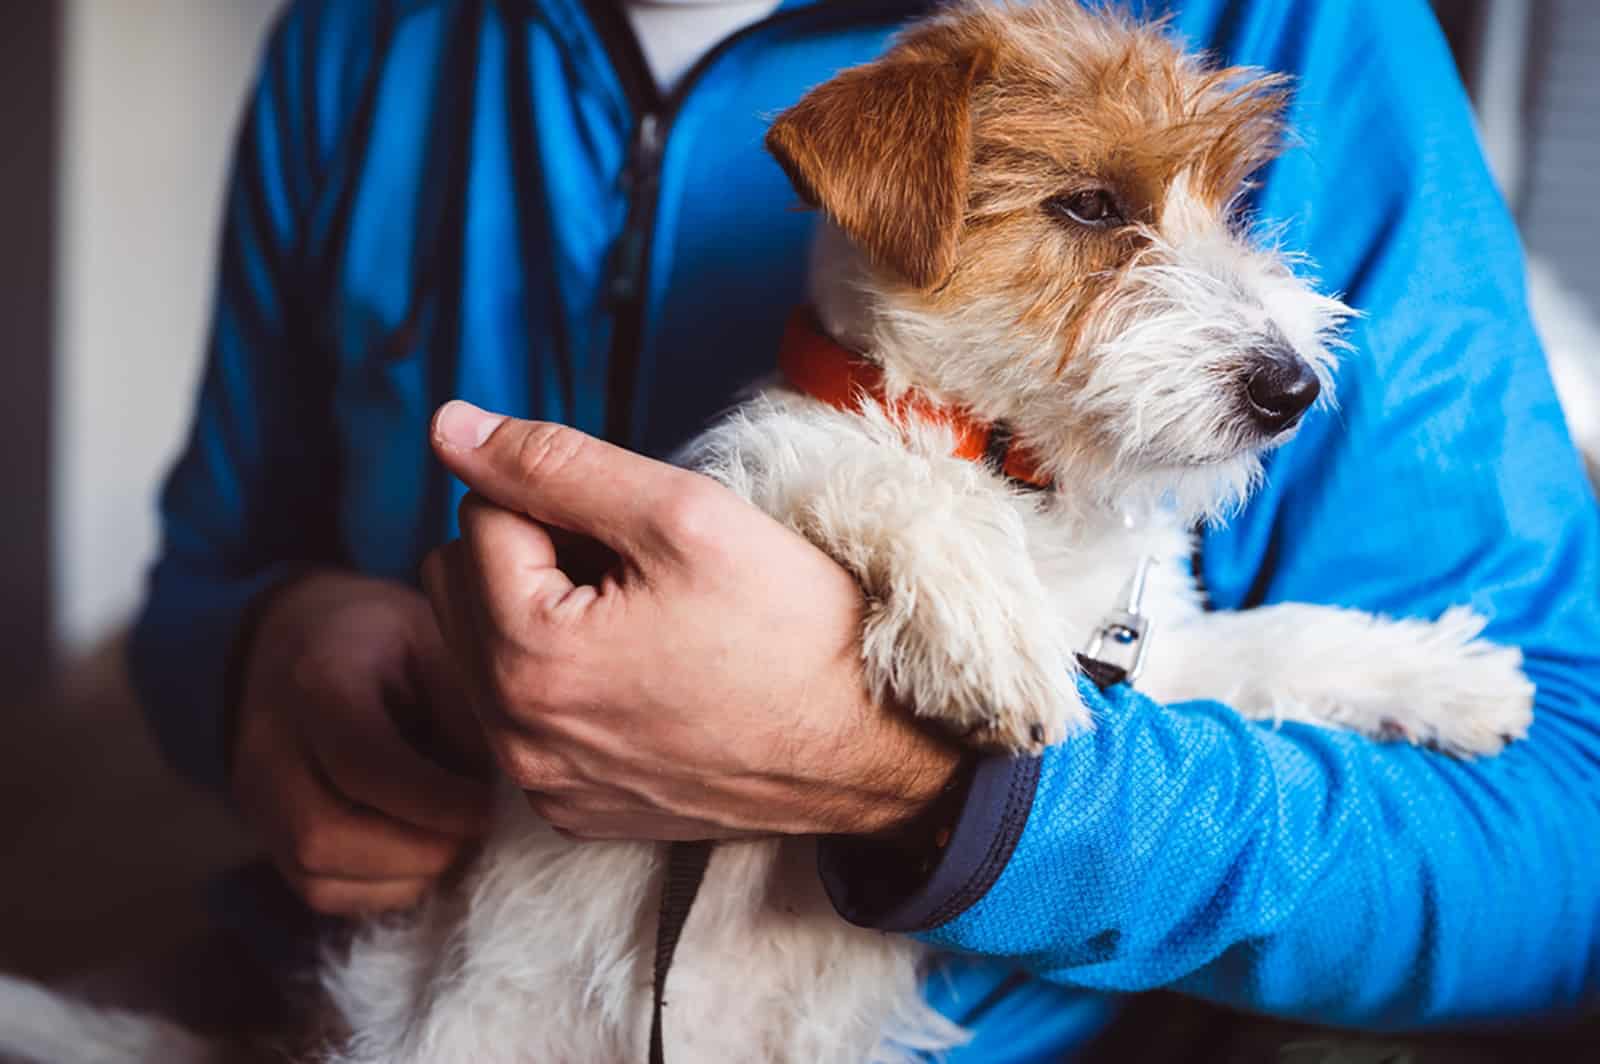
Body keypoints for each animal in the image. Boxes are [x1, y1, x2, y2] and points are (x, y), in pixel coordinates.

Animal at [0, 2, 1529, 1062]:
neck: (1021, 477)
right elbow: (862, 472)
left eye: (1234, 204)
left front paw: (1450, 677)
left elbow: (1279, 642)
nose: (1292, 387)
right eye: (1092, 206)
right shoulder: (740, 481)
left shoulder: (1148, 656)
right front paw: (980, 630)